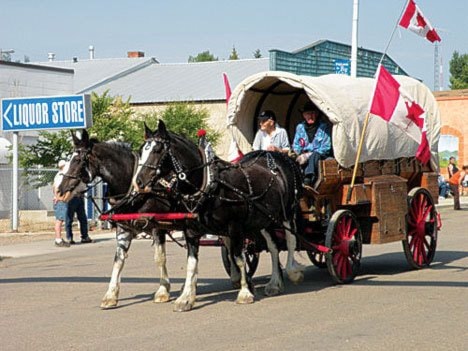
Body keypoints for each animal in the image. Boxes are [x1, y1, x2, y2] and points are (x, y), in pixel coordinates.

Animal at [133, 121, 306, 308]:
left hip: (287, 214)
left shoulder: (235, 227)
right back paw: (274, 283)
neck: (209, 183)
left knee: (290, 240)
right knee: (273, 246)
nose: (138, 182)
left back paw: (292, 271)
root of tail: (272, 154)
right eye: (142, 150)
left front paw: (245, 293)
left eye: (157, 150)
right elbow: (191, 263)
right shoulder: (191, 231)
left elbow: (238, 257)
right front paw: (185, 298)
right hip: (263, 219)